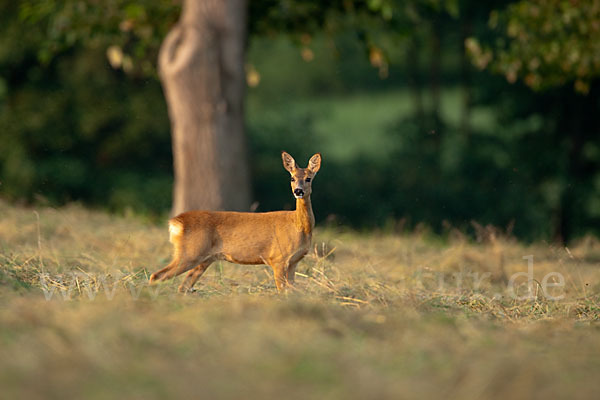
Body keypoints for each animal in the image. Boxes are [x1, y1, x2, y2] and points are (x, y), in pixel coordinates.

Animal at [148, 152, 322, 292]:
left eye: (308, 178)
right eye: (292, 178)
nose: (298, 191)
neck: (299, 226)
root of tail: (176, 222)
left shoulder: (293, 262)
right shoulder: (278, 258)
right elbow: (282, 292)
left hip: (204, 259)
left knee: (182, 285)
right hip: (190, 252)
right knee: (157, 275)